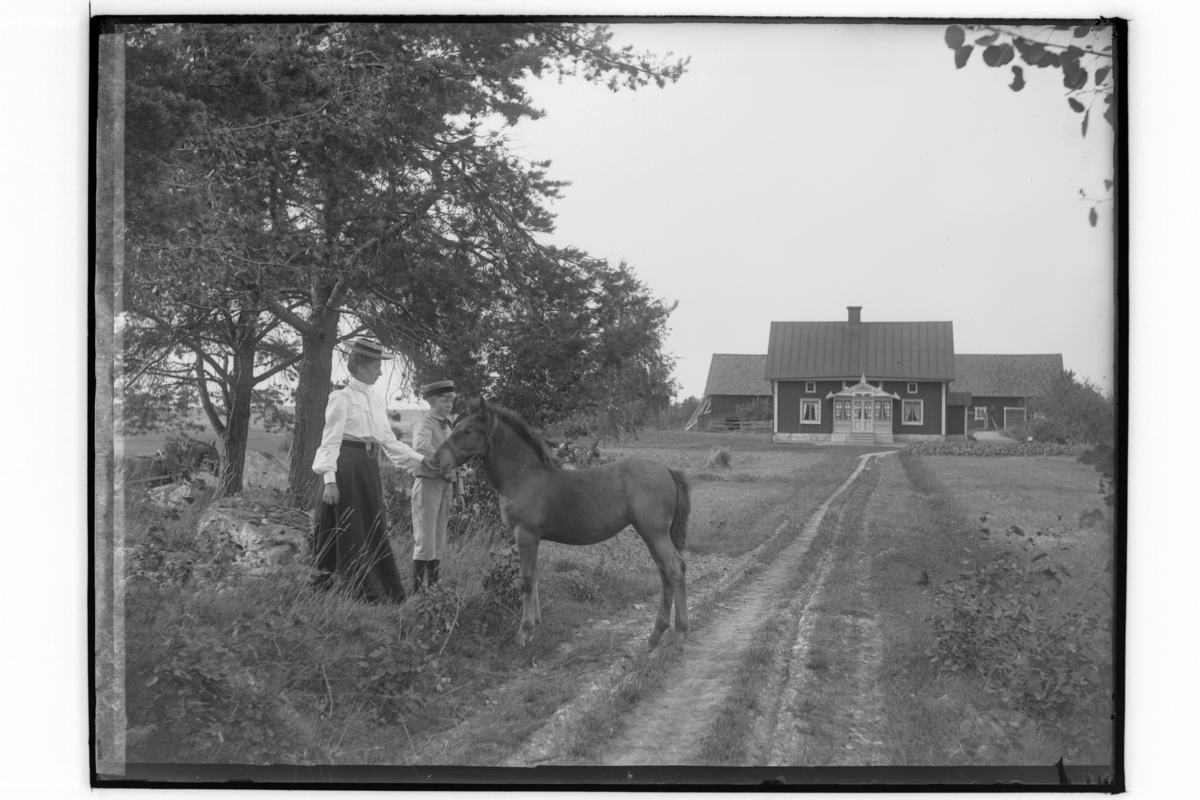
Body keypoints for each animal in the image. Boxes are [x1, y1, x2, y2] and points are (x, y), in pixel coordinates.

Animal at [431, 398, 690, 650]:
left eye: (468, 431)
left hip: (654, 533)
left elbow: (526, 580)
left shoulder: (525, 534)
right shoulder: (532, 538)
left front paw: (522, 633)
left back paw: (678, 636)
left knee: (675, 568)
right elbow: (534, 577)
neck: (523, 476)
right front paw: (534, 627)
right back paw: (655, 637)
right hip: (651, 535)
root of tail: (667, 470)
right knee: (665, 571)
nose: (435, 460)